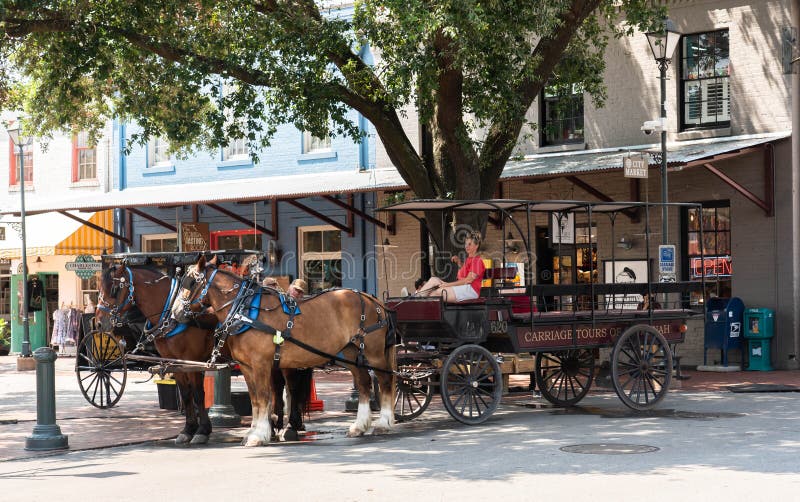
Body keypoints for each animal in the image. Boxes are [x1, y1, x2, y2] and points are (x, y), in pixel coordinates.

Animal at [170, 256, 396, 446]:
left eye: (190, 283)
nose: (175, 313)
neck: (244, 309)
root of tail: (373, 300)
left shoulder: (261, 364)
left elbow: (263, 397)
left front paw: (259, 435)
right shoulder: (247, 367)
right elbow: (254, 399)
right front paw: (253, 432)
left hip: (373, 353)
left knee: (385, 381)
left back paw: (383, 423)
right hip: (351, 353)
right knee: (364, 382)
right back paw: (359, 426)